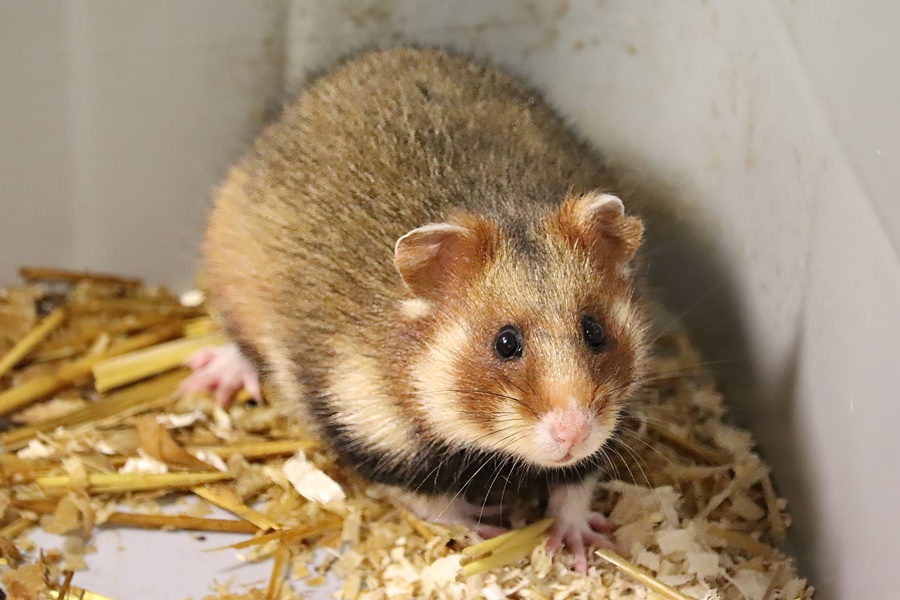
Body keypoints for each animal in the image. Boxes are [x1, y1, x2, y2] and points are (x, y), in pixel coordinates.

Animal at [180, 47, 650, 574]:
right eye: (505, 343)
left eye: (595, 331)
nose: (574, 433)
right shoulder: (366, 430)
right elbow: (430, 498)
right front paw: (483, 526)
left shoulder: (607, 425)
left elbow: (576, 483)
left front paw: (578, 544)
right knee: (238, 343)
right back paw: (210, 377)